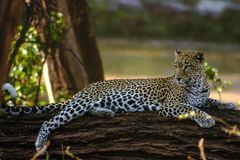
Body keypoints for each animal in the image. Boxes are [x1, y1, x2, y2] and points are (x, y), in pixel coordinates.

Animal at [0, 49, 237, 151]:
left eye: (186, 66)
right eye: (176, 66)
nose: (178, 77)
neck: (196, 84)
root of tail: (82, 90)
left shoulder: (202, 98)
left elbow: (212, 101)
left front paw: (229, 104)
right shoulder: (170, 105)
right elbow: (193, 109)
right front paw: (207, 119)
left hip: (87, 104)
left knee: (89, 111)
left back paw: (106, 112)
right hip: (80, 103)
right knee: (50, 121)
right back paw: (40, 142)